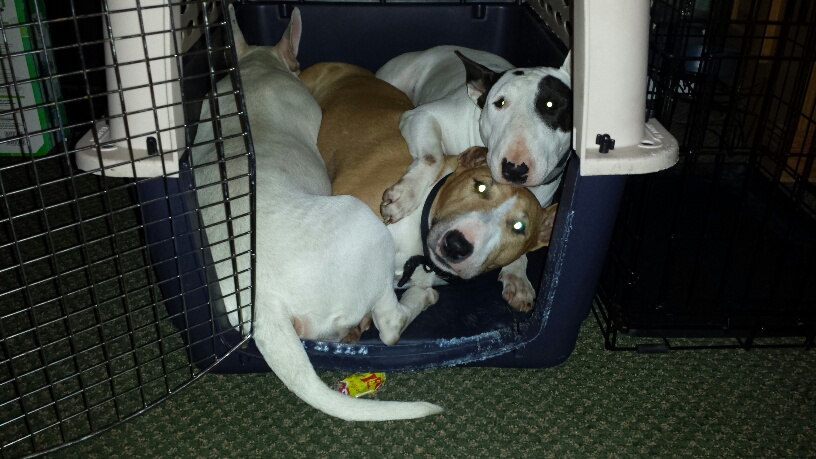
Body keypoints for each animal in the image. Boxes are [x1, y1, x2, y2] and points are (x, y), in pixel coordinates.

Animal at [374, 46, 571, 311]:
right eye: (499, 103)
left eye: (551, 104)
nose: (514, 168)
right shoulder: (421, 116)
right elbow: (433, 157)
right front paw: (404, 196)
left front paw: (518, 277)